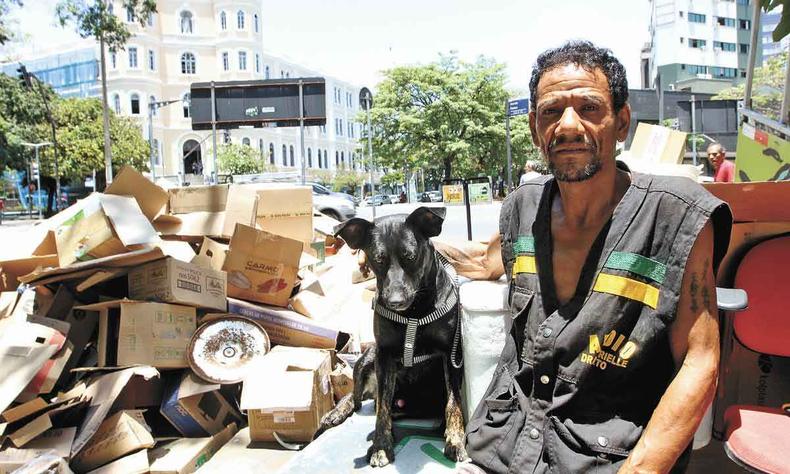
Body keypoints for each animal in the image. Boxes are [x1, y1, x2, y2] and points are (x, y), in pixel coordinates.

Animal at [324, 207, 470, 466]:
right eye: (378, 259)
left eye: (410, 257)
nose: (395, 302)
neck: (415, 313)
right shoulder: (384, 356)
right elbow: (381, 409)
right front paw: (381, 446)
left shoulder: (452, 353)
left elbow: (453, 403)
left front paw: (455, 440)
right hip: (366, 358)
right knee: (358, 397)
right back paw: (338, 412)